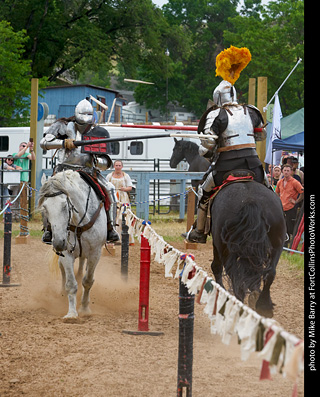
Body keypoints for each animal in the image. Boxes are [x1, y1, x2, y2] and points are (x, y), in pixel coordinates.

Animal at [37, 169, 109, 318]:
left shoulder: (95, 253)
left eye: (65, 205)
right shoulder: (66, 253)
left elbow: (88, 281)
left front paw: (85, 308)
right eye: (45, 207)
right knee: (64, 270)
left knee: (82, 270)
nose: (58, 242)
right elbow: (71, 284)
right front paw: (71, 313)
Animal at [211, 181, 286, 318]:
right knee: (270, 273)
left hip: (225, 248)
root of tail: (249, 201)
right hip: (277, 243)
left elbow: (217, 267)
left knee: (234, 276)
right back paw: (263, 305)